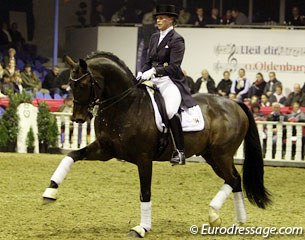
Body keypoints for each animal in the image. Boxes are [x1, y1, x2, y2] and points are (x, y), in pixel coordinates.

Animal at [41, 51, 270, 237]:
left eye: (82, 85)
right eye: (70, 85)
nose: (78, 118)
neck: (125, 105)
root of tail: (235, 104)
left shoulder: (143, 159)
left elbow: (145, 192)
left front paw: (142, 228)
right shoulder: (105, 150)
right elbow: (71, 156)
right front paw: (50, 192)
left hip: (221, 155)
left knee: (233, 179)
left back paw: (215, 215)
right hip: (213, 156)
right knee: (235, 181)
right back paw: (236, 222)